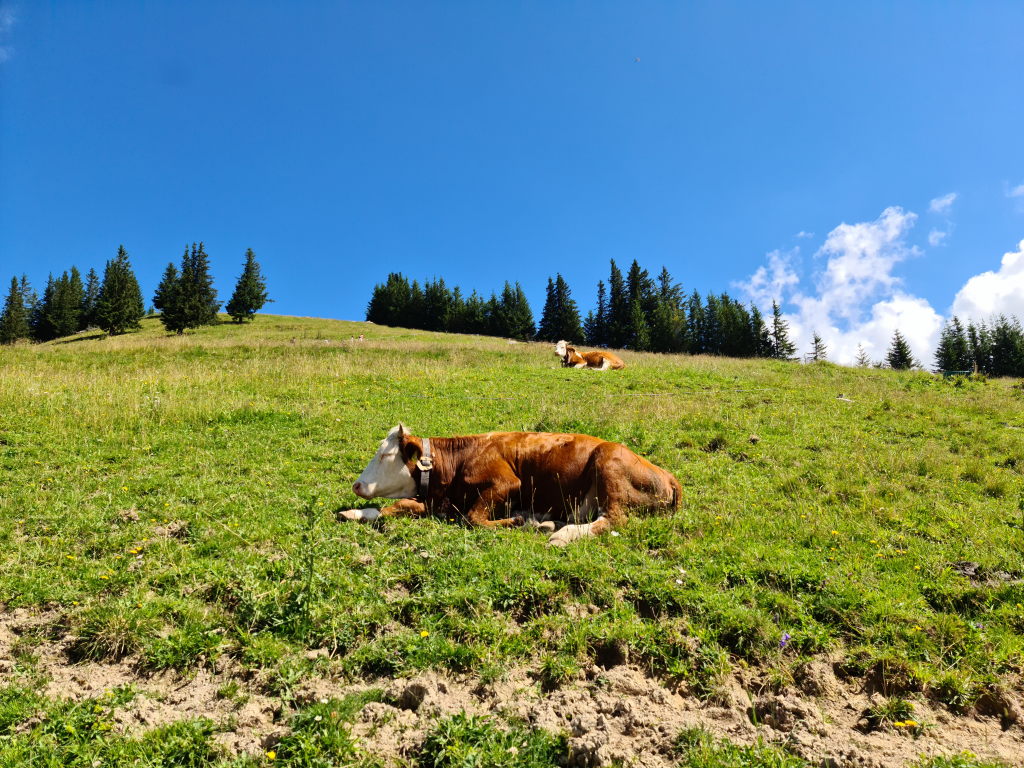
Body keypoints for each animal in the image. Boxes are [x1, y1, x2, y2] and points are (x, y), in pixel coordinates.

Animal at [338, 424, 680, 546]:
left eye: (386, 455)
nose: (357, 485)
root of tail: (666, 473)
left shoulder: (506, 482)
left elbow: (474, 519)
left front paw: (517, 520)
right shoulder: (441, 503)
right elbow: (400, 505)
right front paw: (356, 513)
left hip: (608, 464)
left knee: (614, 519)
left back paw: (561, 534)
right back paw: (549, 524)